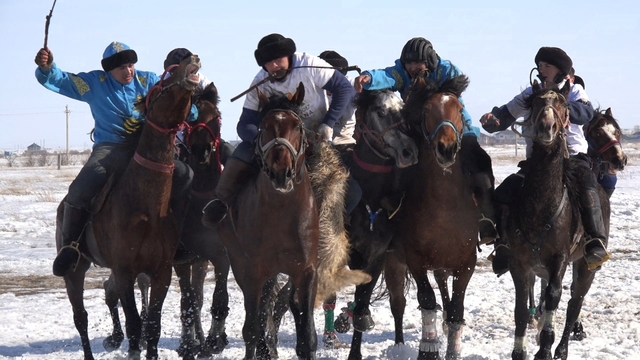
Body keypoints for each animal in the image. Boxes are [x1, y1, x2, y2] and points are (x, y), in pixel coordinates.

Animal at [57, 54, 202, 358]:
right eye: (161, 85)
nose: (191, 58)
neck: (147, 207)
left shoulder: (161, 272)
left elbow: (153, 325)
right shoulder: (125, 271)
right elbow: (135, 323)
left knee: (106, 292)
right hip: (75, 270)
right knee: (81, 317)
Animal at [204, 83, 318, 358]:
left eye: (297, 126)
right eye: (263, 126)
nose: (280, 172)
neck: (281, 212)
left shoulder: (306, 271)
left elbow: (306, 336)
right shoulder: (252, 272)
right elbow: (252, 330)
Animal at [396, 74, 480, 360]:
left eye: (459, 109)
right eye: (425, 111)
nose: (446, 148)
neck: (444, 209)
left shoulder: (467, 263)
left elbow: (456, 307)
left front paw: (453, 348)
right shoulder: (415, 260)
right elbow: (427, 300)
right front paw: (429, 347)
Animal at [500, 81, 608, 360]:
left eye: (562, 103)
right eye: (537, 101)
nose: (546, 126)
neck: (540, 207)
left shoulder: (559, 260)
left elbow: (554, 296)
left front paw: (545, 349)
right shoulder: (519, 264)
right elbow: (520, 308)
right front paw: (520, 351)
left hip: (585, 265)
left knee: (574, 302)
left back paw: (561, 347)